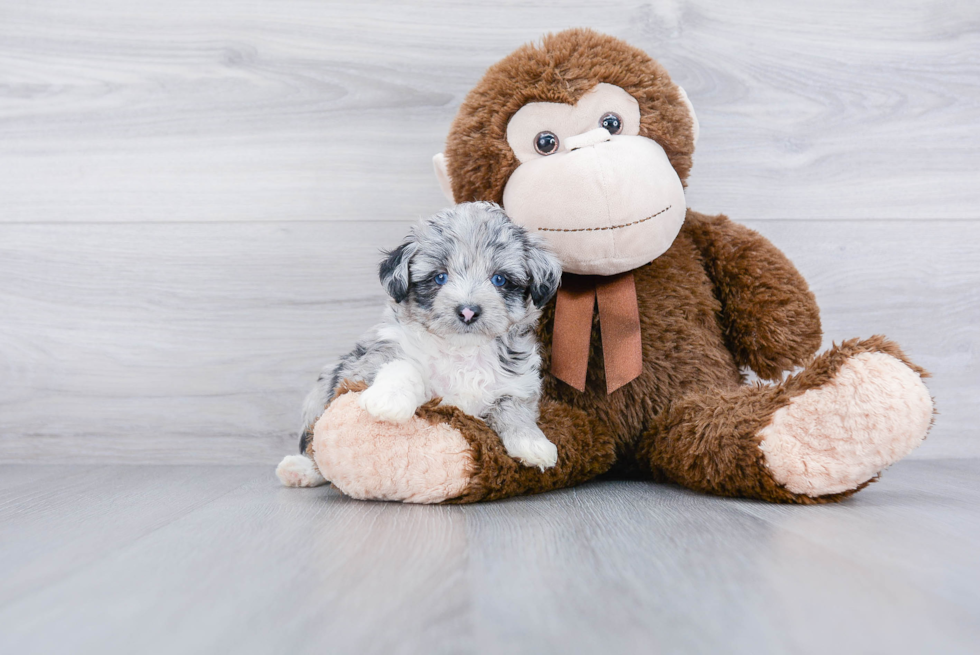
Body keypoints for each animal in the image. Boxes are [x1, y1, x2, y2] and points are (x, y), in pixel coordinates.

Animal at [280, 202, 564, 490]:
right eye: (439, 277)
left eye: (499, 280)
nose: (468, 311)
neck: (462, 350)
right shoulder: (368, 363)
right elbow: (403, 367)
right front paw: (389, 400)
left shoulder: (517, 385)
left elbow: (514, 409)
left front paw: (532, 443)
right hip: (321, 392)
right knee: (313, 444)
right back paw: (299, 469)